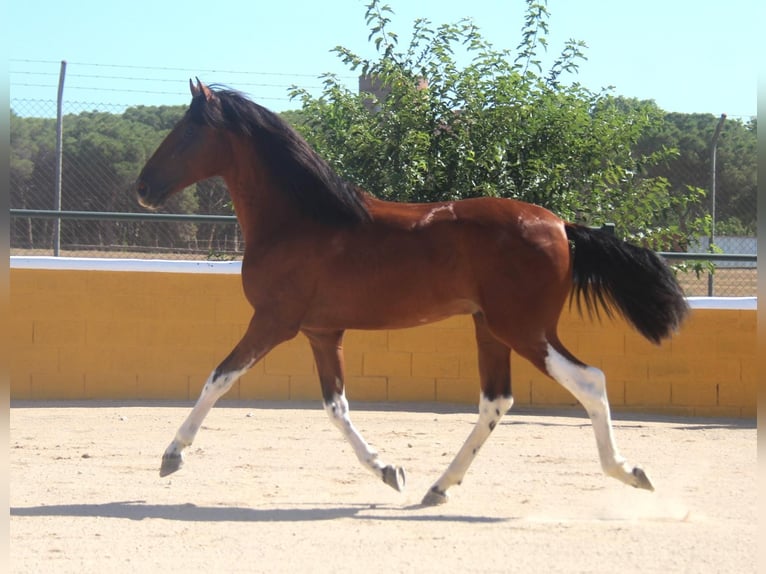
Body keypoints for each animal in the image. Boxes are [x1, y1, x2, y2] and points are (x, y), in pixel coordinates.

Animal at [136, 79, 688, 506]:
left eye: (188, 131)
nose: (142, 187)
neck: (301, 220)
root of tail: (560, 225)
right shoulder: (321, 332)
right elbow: (335, 407)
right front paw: (388, 471)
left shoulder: (274, 322)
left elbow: (218, 378)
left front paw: (171, 455)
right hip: (492, 329)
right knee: (496, 401)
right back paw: (438, 486)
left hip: (525, 330)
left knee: (589, 381)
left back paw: (629, 472)